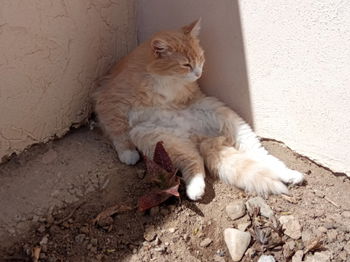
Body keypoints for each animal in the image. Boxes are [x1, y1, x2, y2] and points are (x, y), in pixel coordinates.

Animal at [93, 19, 304, 201]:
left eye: (200, 59)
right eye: (186, 64)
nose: (199, 73)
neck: (163, 77)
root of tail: (200, 138)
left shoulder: (192, 95)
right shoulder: (110, 101)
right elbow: (117, 130)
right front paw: (127, 152)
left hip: (230, 122)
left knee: (261, 156)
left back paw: (290, 175)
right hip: (158, 139)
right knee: (195, 162)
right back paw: (195, 189)